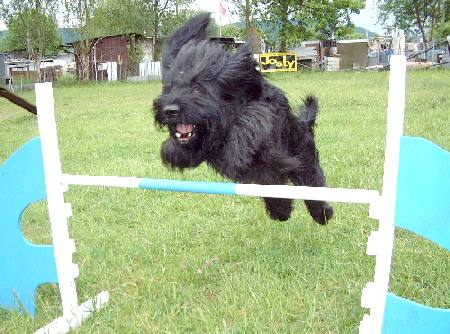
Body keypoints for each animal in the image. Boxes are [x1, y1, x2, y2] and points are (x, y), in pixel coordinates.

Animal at [153, 14, 332, 226]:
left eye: (197, 88)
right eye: (169, 87)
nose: (169, 111)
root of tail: (304, 125)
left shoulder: (267, 111)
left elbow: (255, 117)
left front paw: (239, 146)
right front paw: (173, 150)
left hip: (302, 155)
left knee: (311, 181)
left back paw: (322, 213)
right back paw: (281, 211)